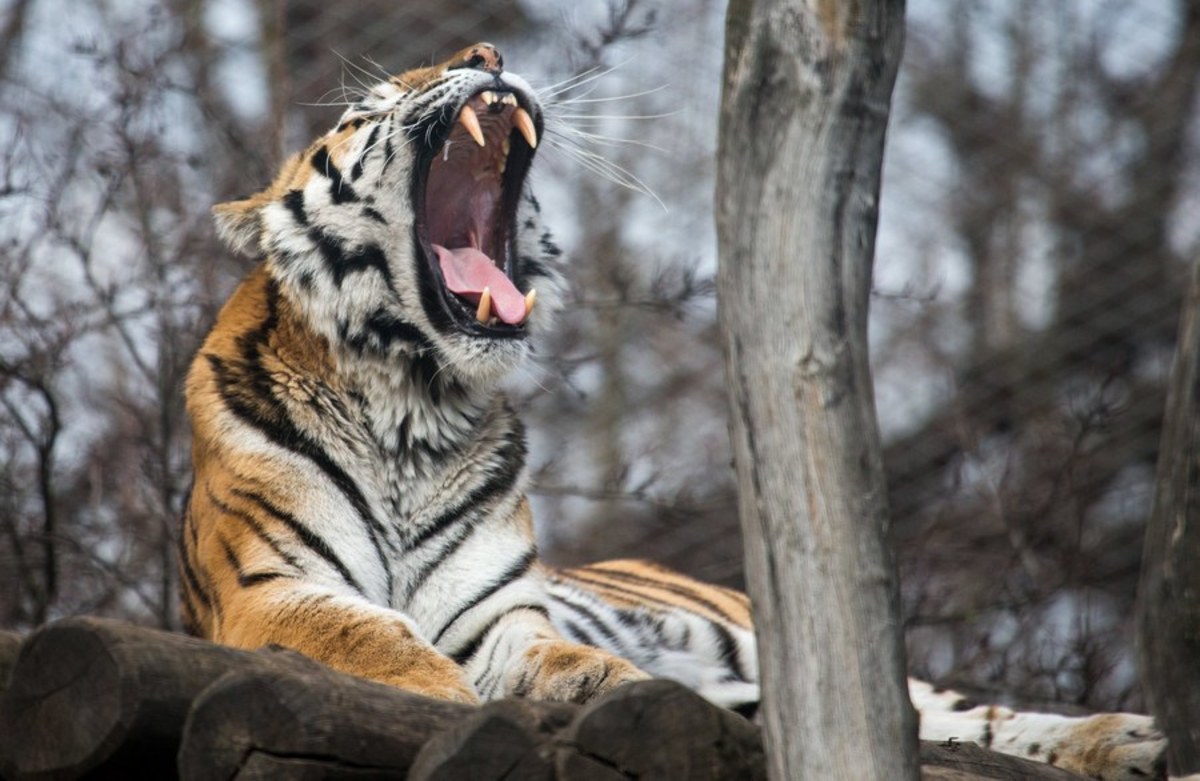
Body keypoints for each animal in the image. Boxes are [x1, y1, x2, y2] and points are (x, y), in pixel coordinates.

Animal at [182, 44, 1166, 781]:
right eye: (368, 107)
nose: (484, 54)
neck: (410, 408)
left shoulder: (501, 617)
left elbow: (573, 662)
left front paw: (604, 689)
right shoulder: (269, 590)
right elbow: (372, 635)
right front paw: (446, 696)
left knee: (961, 716)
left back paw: (1124, 739)